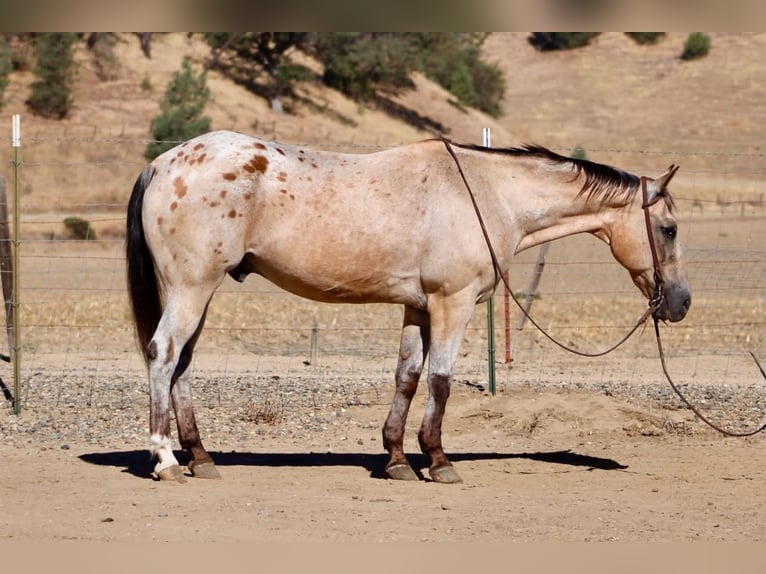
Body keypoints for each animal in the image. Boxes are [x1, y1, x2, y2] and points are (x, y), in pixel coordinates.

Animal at [126, 130, 691, 483]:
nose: (681, 302)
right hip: (191, 287)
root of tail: (161, 164)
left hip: (198, 292)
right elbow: (440, 380)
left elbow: (407, 377)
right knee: (163, 354)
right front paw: (438, 460)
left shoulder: (418, 308)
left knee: (182, 364)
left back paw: (200, 456)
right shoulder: (452, 303)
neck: (486, 193)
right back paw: (166, 459)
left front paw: (397, 458)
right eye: (669, 229)